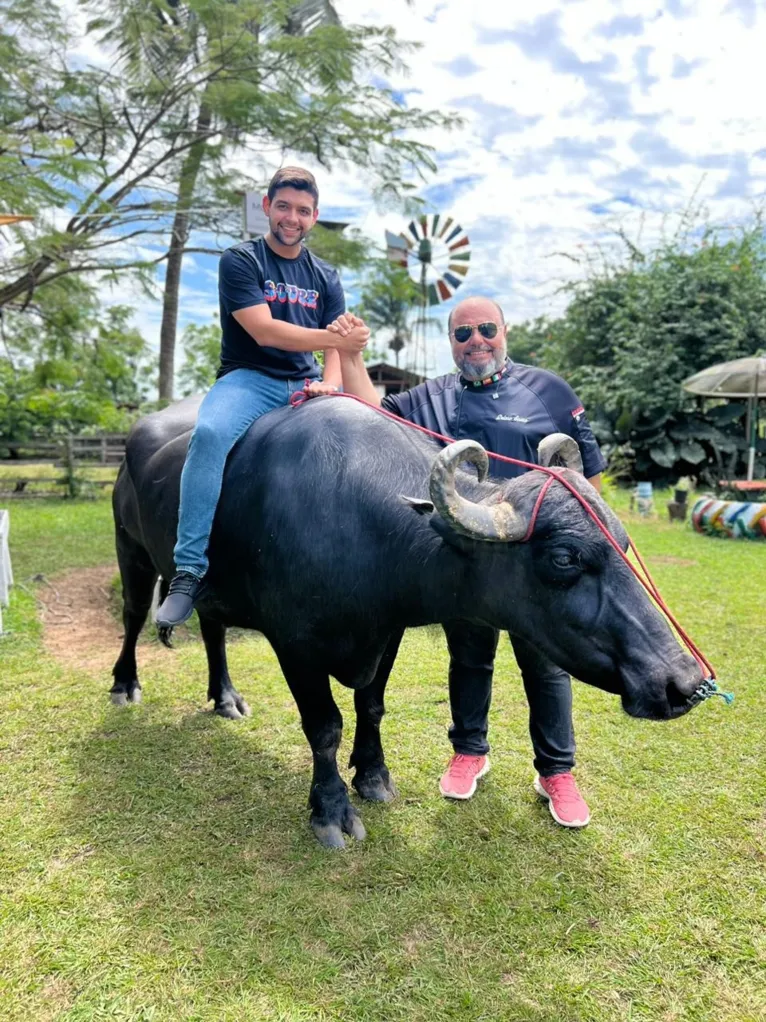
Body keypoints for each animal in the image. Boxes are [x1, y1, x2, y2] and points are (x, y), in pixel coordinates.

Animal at [110, 394, 706, 850]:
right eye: (564, 558)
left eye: (623, 543)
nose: (684, 682)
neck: (353, 520)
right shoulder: (294, 642)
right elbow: (324, 726)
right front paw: (330, 810)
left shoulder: (387, 631)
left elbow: (370, 707)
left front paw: (373, 777)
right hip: (131, 549)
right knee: (135, 615)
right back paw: (124, 686)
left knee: (212, 630)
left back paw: (226, 697)